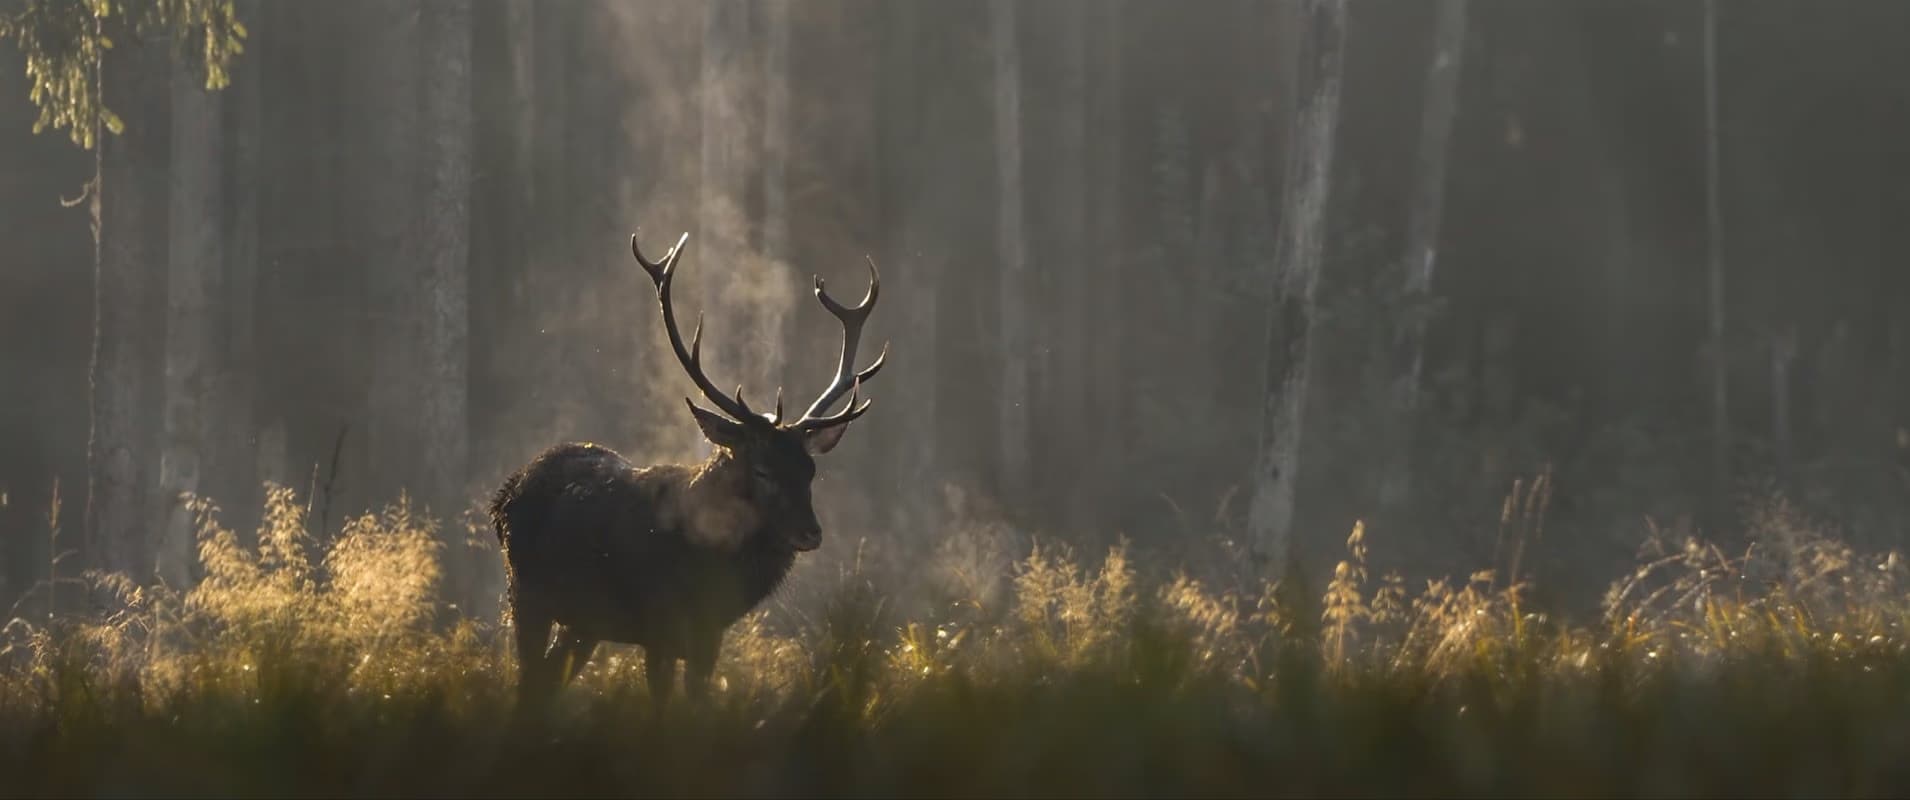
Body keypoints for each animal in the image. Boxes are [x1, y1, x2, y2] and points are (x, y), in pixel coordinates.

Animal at [489, 228, 885, 712]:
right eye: (762, 470)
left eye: (811, 470)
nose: (811, 532)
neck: (706, 567)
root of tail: (504, 494)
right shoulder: (658, 628)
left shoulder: (708, 639)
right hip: (525, 596)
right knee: (528, 682)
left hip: (583, 623)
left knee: (546, 681)